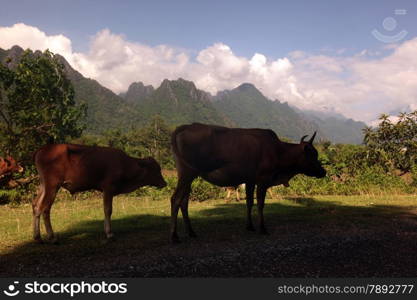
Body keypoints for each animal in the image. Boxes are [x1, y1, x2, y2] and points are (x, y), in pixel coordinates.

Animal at [32, 144, 166, 243]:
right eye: (156, 169)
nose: (164, 183)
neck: (125, 164)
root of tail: (43, 149)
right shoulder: (108, 188)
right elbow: (108, 210)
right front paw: (109, 233)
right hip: (52, 186)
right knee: (45, 208)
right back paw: (51, 237)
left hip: (43, 185)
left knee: (36, 205)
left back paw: (37, 237)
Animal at [169, 123, 324, 243]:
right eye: (312, 155)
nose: (323, 172)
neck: (278, 150)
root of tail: (186, 126)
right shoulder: (263, 180)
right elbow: (260, 204)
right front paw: (262, 228)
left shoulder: (250, 181)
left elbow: (249, 202)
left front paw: (250, 226)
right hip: (187, 174)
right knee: (176, 199)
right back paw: (175, 236)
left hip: (187, 176)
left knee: (184, 202)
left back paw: (191, 232)